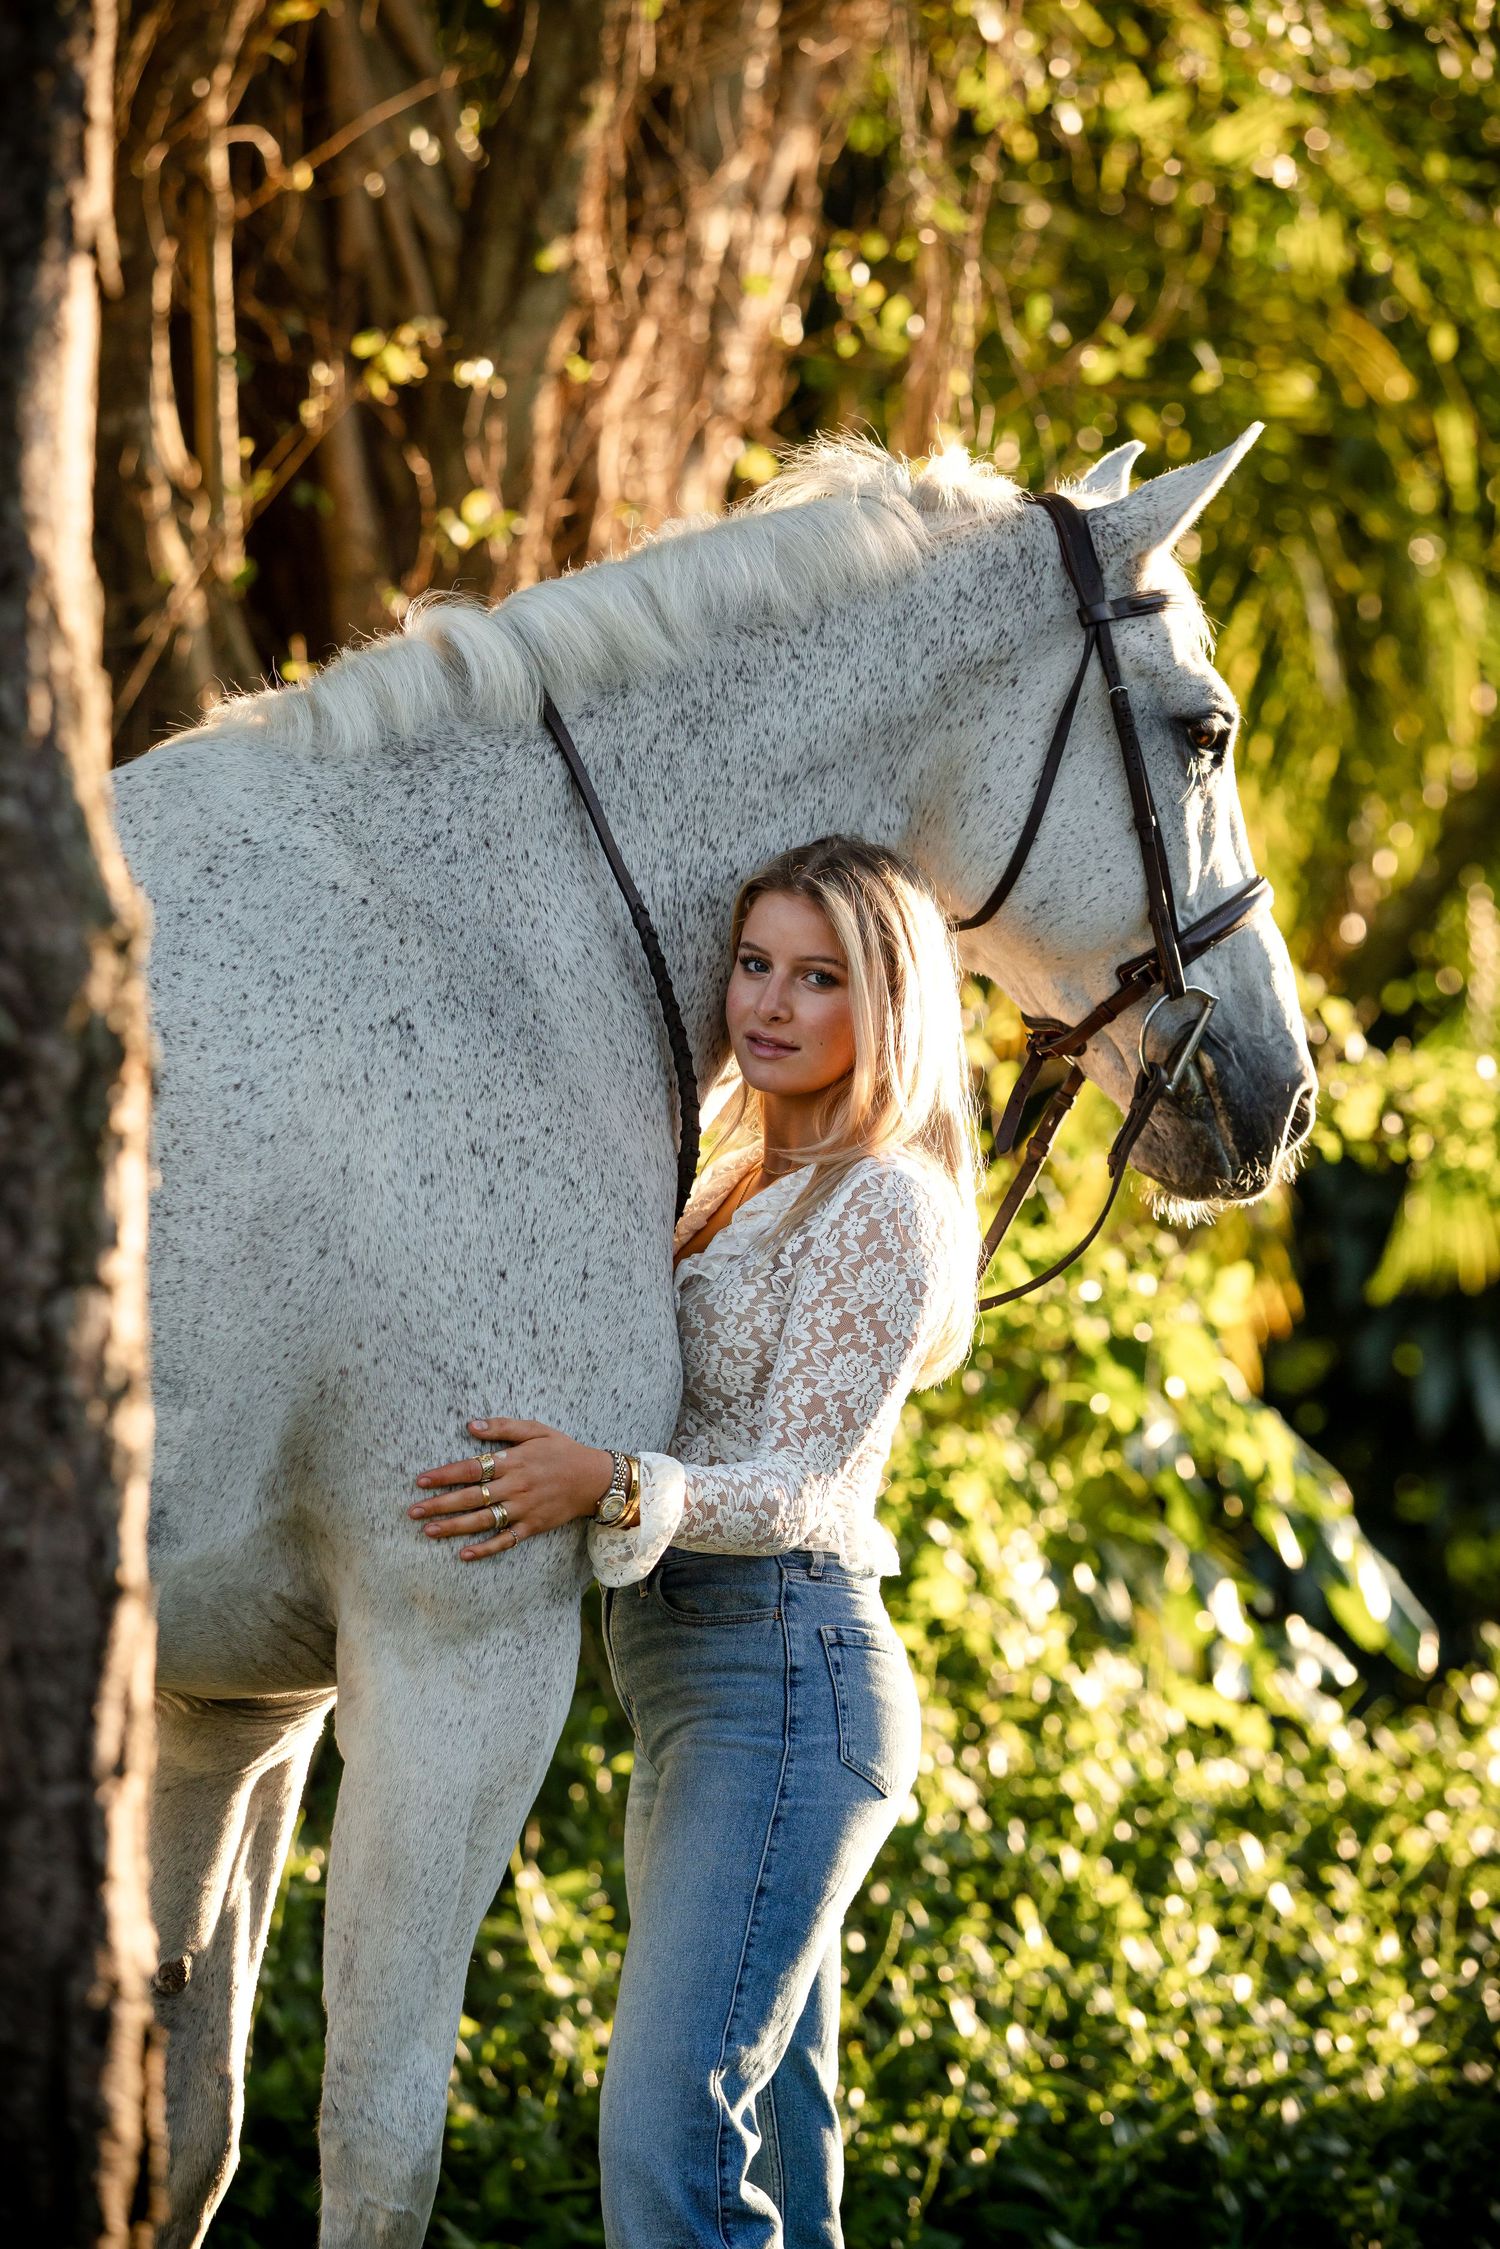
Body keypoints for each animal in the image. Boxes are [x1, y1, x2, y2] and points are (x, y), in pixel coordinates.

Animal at [113, 429, 1316, 2247]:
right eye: (1208, 731)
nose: (1277, 1090)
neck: (493, 942)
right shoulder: (458, 1645)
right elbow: (380, 2146)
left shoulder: (232, 1701)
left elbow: (192, 2133)